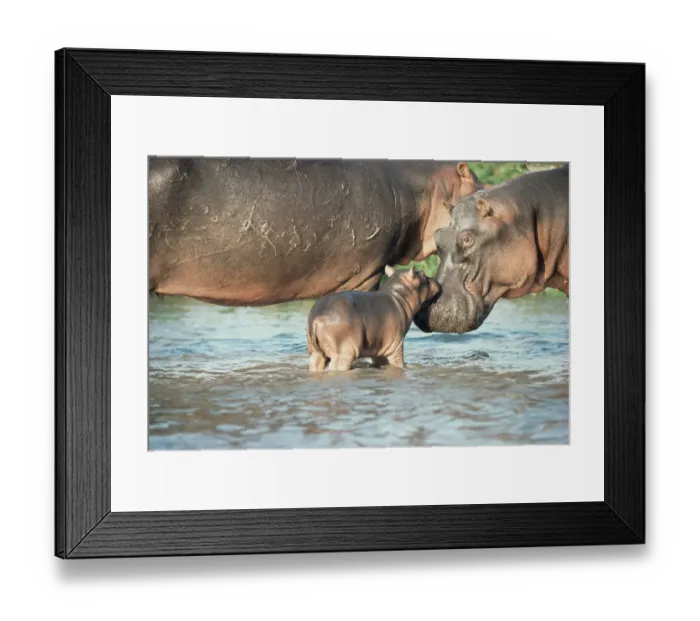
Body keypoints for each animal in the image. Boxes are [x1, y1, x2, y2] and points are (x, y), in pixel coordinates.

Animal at [306, 265, 441, 371]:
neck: (398, 296)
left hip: (315, 352)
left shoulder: (380, 351)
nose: (437, 281)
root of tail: (316, 319)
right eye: (423, 275)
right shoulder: (396, 347)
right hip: (343, 352)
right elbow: (398, 364)